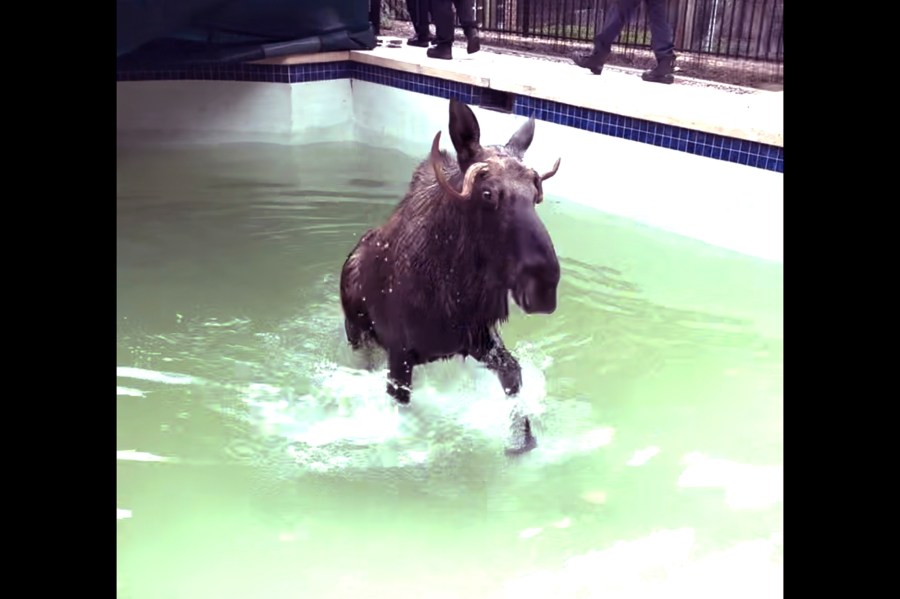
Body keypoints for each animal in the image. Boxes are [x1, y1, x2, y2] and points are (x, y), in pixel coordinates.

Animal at [342, 98, 560, 454]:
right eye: (487, 194)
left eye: (535, 194)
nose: (543, 286)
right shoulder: (399, 356)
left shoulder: (478, 338)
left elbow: (513, 376)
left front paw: (522, 440)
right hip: (358, 334)